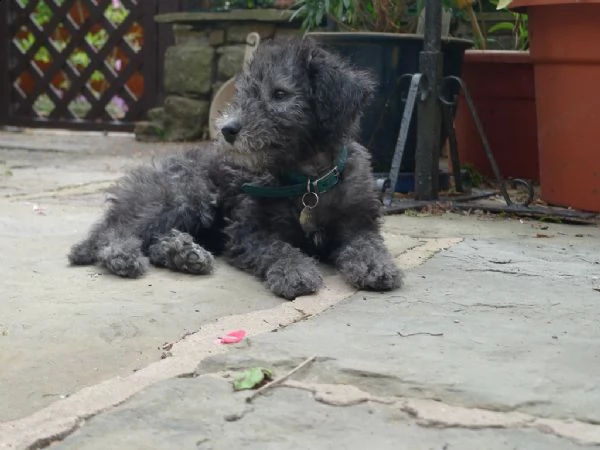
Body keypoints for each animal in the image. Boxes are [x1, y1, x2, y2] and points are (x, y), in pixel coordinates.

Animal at [70, 37, 404, 300]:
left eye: (279, 94)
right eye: (243, 94)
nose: (227, 129)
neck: (309, 179)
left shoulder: (358, 223)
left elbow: (367, 244)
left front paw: (377, 266)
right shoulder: (248, 231)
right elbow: (278, 248)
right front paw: (295, 272)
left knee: (149, 239)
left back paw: (183, 254)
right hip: (185, 195)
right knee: (114, 232)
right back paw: (123, 256)